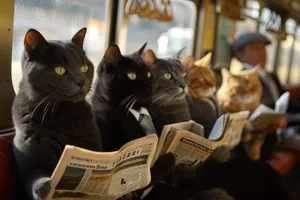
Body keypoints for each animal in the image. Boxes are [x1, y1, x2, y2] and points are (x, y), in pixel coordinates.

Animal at [12, 27, 101, 199]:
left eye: (84, 68)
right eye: (60, 70)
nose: (81, 81)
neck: (63, 114)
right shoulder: (31, 158)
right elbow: (34, 175)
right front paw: (49, 186)